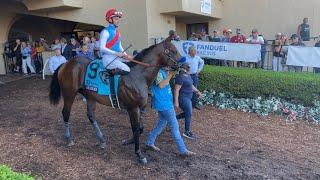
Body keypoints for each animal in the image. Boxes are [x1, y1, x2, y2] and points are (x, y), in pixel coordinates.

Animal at [49, 38, 181, 165]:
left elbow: (140, 128)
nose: (185, 65)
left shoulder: (138, 107)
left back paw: (101, 140)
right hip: (69, 94)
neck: (138, 75)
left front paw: (129, 141)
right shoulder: (132, 108)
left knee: (91, 116)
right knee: (65, 113)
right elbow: (136, 128)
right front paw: (139, 154)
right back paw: (69, 138)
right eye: (173, 51)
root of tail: (66, 64)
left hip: (90, 96)